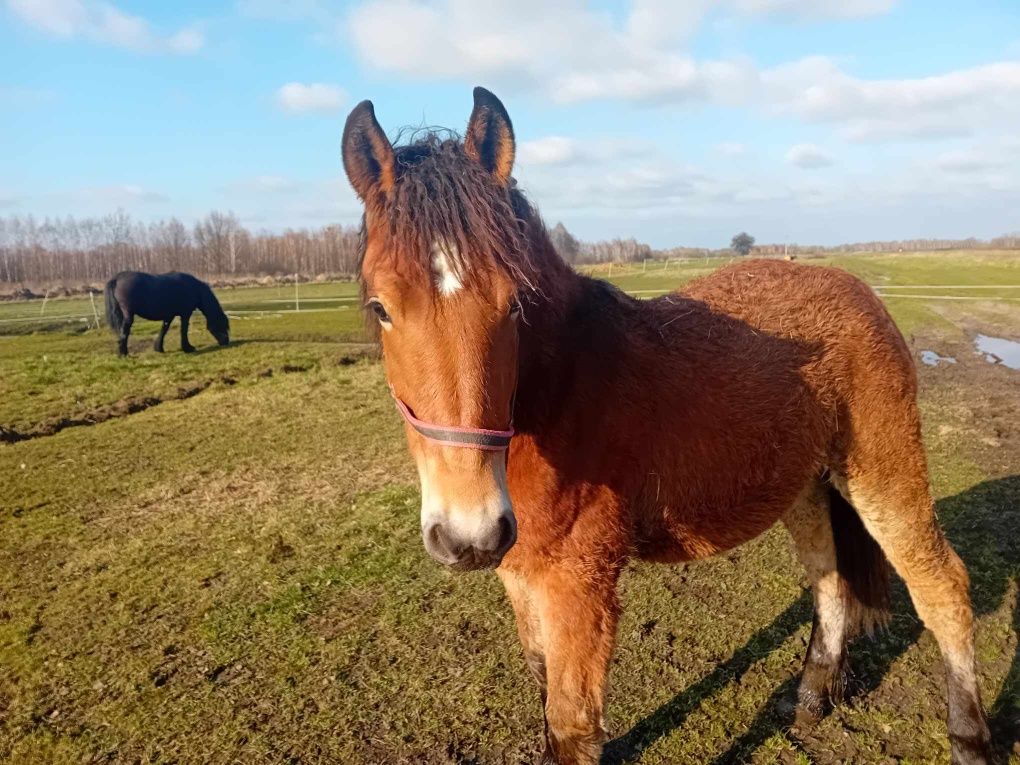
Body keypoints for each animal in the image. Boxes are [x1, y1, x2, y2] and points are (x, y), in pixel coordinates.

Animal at [340, 86, 987, 762]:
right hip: (806, 487)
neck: (562, 392)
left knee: (941, 585)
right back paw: (811, 699)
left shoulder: (578, 585)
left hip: (883, 471)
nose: (470, 534)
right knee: (829, 578)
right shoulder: (522, 575)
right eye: (380, 309)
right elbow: (545, 692)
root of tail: (858, 289)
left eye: (514, 303)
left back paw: (968, 735)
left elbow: (571, 725)